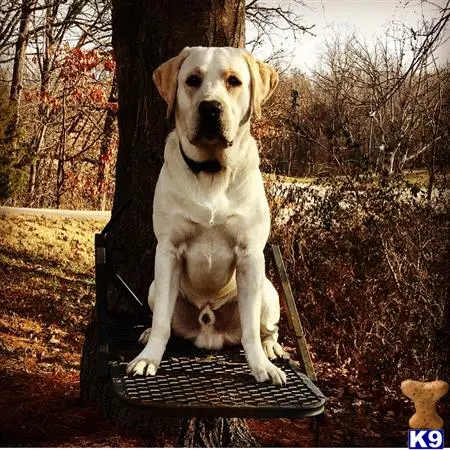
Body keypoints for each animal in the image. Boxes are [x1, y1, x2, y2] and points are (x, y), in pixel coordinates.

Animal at [126, 45, 288, 384]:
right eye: (192, 80)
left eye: (234, 81)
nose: (211, 108)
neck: (212, 171)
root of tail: (210, 331)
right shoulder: (168, 251)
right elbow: (161, 322)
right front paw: (148, 358)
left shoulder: (250, 255)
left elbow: (250, 330)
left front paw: (261, 366)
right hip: (154, 287)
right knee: (163, 319)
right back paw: (147, 335)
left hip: (268, 291)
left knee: (266, 328)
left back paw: (271, 349)